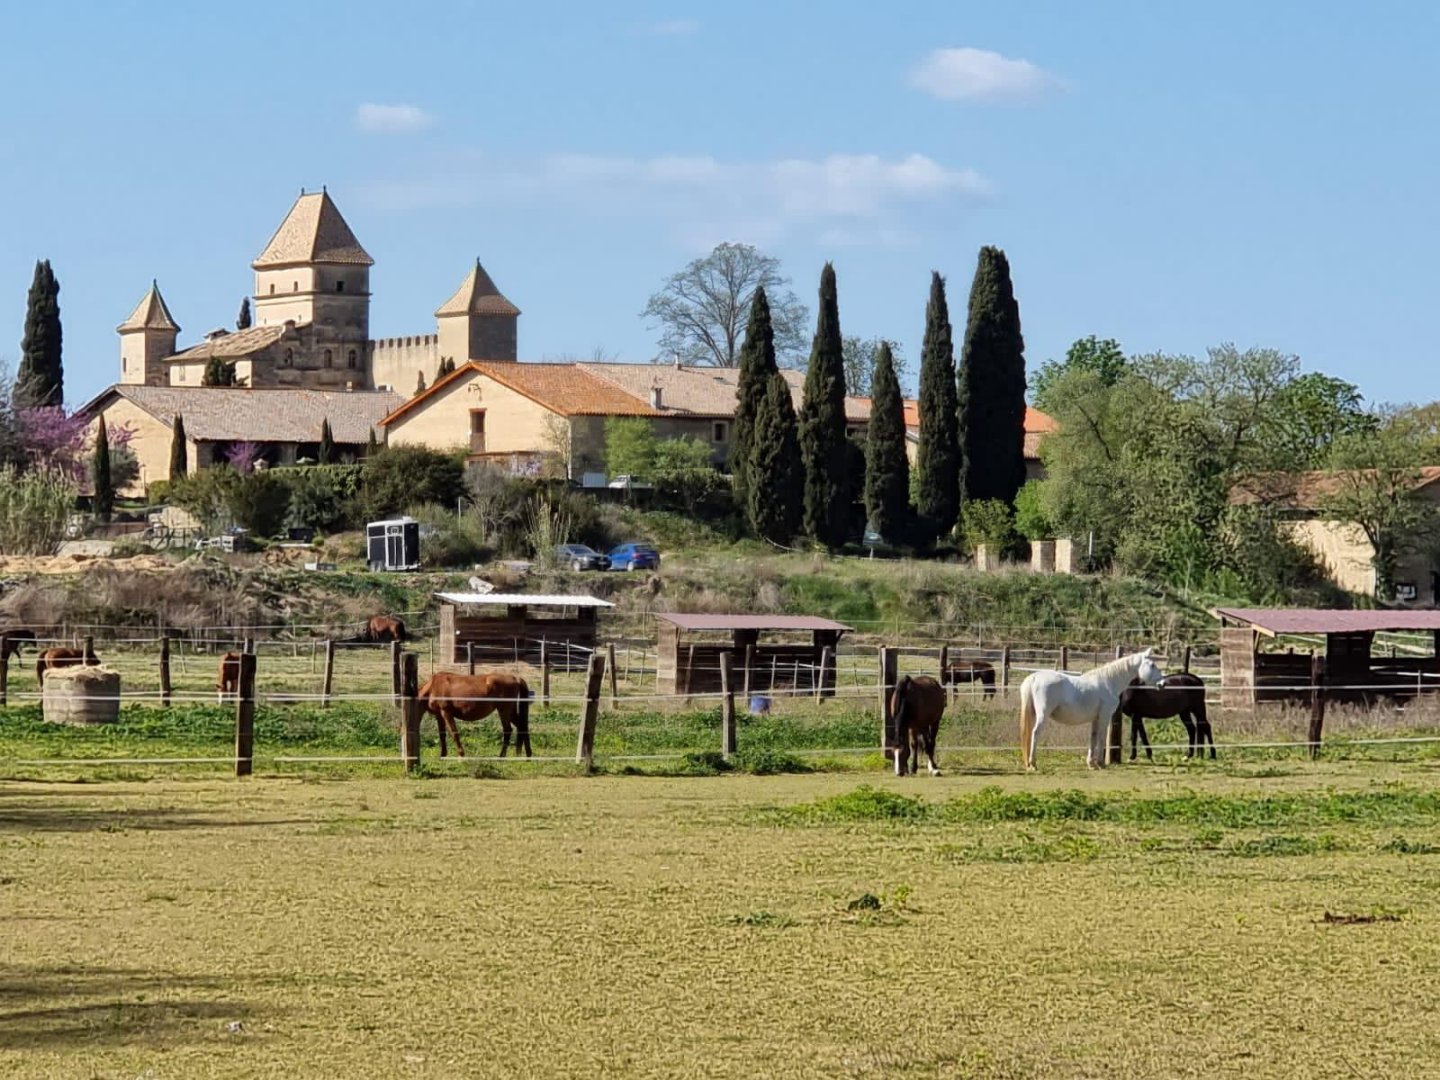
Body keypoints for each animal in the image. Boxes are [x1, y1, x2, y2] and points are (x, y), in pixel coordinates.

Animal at [1019, 650, 1163, 771]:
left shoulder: (1095, 719)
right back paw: (1033, 764)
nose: (1162, 683)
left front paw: (1091, 764)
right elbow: (1101, 738)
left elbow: (1093, 738)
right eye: (1152, 665)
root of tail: (1034, 677)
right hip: (1042, 715)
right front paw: (1100, 763)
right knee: (1035, 733)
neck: (1109, 682)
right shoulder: (1104, 717)